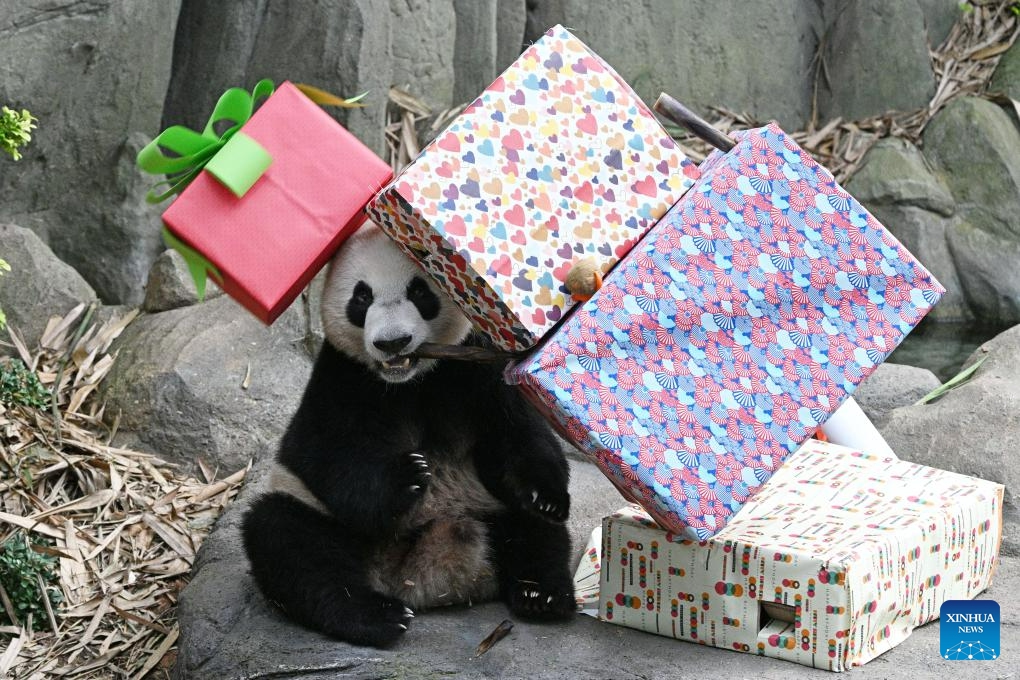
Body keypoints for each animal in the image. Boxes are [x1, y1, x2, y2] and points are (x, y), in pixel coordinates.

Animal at [240, 224, 575, 648]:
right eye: (362, 296)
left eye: (419, 291)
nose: (392, 342)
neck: (410, 380)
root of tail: (418, 583)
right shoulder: (343, 379)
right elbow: (328, 454)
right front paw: (409, 476)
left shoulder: (475, 367)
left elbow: (517, 434)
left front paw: (544, 497)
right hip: (315, 512)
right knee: (293, 544)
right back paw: (377, 616)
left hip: (487, 505)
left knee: (536, 534)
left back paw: (541, 595)